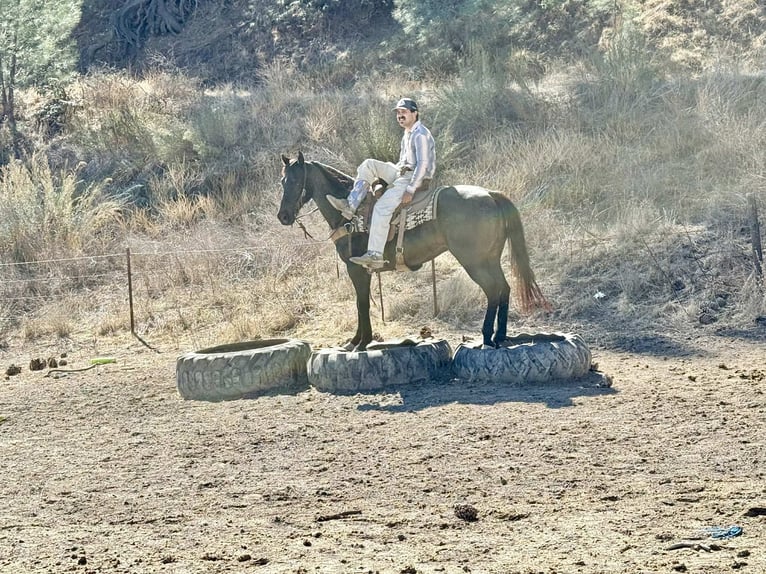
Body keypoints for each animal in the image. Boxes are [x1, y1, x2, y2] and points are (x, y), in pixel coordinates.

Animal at [277, 152, 549, 351]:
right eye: (282, 181)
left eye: (295, 181)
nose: (283, 216)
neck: (350, 216)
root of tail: (491, 195)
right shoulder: (359, 272)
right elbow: (360, 303)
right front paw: (354, 341)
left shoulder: (357, 269)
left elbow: (361, 304)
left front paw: (361, 343)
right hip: (490, 259)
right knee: (504, 289)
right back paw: (500, 336)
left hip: (475, 261)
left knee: (493, 290)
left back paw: (486, 337)